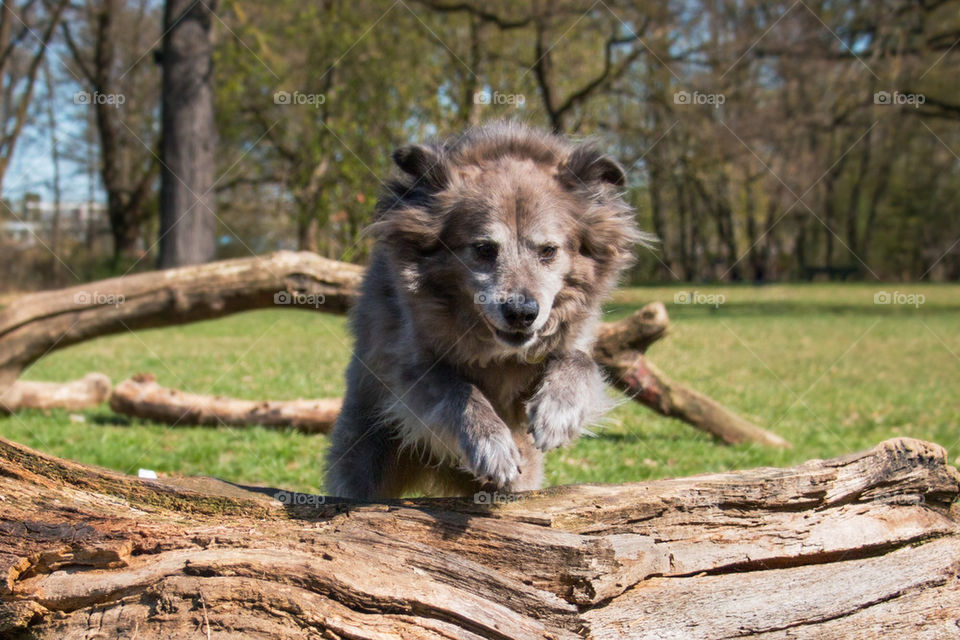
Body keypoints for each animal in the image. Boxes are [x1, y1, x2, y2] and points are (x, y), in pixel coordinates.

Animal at [326, 121, 648, 500]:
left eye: (549, 251)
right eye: (483, 249)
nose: (522, 313)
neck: (495, 352)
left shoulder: (567, 343)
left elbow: (580, 361)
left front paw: (557, 412)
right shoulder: (409, 367)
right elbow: (455, 388)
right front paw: (490, 443)